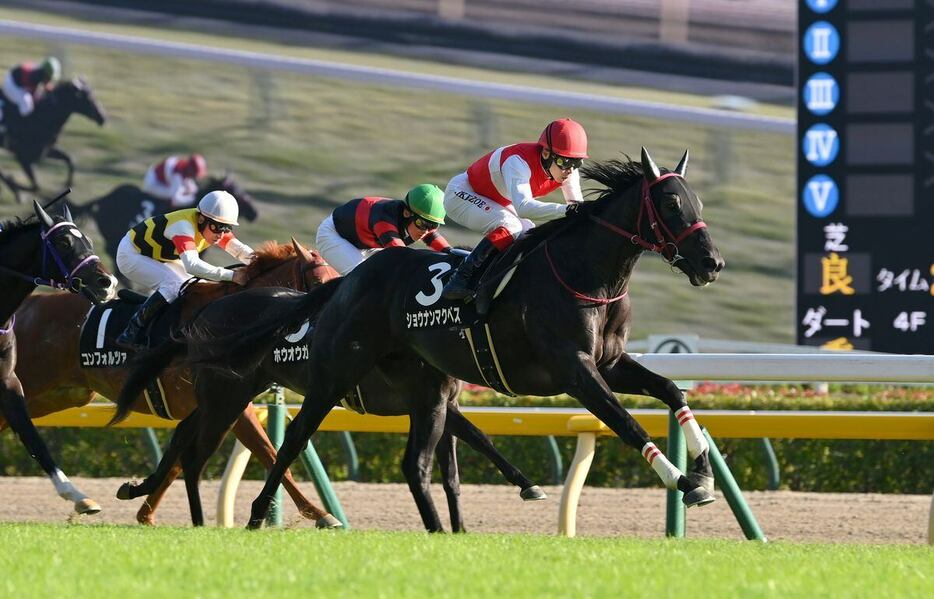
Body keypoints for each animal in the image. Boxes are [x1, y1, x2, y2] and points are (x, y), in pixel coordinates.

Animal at [0, 197, 117, 516]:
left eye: (89, 241)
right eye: (63, 242)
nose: (107, 282)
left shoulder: (8, 382)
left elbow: (33, 438)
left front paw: (79, 496)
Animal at [70, 175, 262, 290]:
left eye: (227, 229)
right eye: (237, 192)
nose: (255, 213)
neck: (199, 225)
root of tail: (103, 198)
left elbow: (234, 246)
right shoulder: (182, 230)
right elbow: (193, 263)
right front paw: (238, 276)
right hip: (128, 258)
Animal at [161, 148, 728, 532]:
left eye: (696, 201)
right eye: (671, 204)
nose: (712, 263)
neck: (585, 274)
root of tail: (349, 281)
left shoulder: (610, 363)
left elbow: (672, 392)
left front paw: (702, 472)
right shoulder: (575, 370)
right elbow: (626, 423)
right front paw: (681, 480)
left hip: (409, 385)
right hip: (329, 376)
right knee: (293, 438)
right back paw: (262, 514)